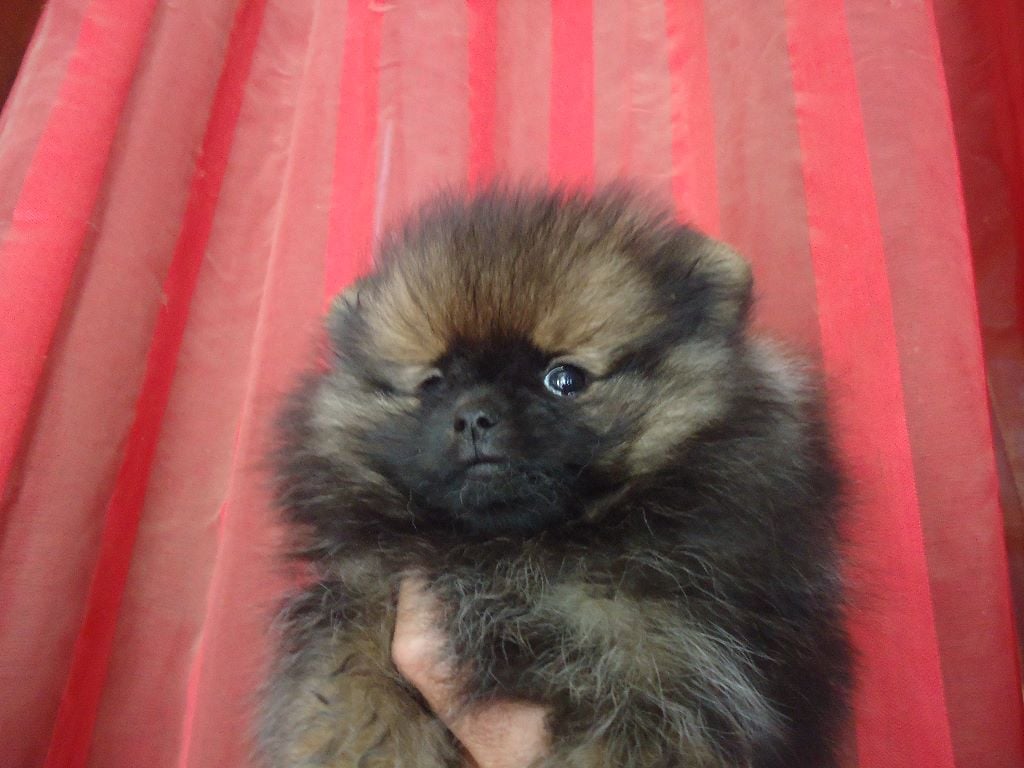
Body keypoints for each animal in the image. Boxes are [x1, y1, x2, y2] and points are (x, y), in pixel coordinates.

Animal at [260, 188, 851, 768]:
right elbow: (349, 690)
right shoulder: (365, 593)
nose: (473, 415)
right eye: (432, 384)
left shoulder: (661, 663)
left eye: (564, 379)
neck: (512, 552)